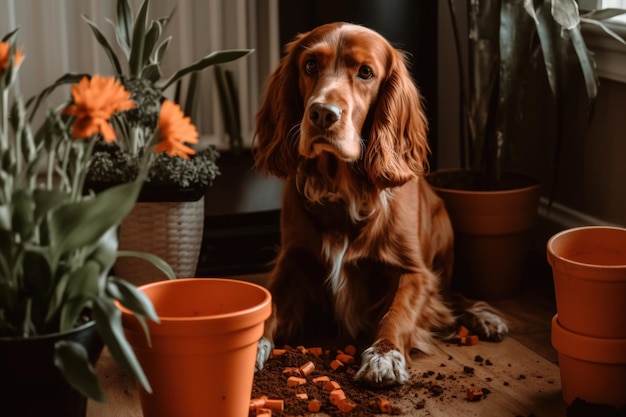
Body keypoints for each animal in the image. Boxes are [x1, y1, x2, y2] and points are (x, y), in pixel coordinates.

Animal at [251, 21, 504, 386]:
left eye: (366, 72)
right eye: (310, 65)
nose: (322, 114)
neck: (341, 188)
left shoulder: (414, 271)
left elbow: (397, 313)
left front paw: (385, 355)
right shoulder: (293, 259)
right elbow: (268, 305)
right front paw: (251, 345)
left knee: (450, 294)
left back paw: (484, 316)